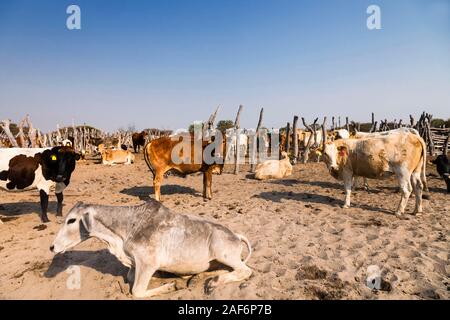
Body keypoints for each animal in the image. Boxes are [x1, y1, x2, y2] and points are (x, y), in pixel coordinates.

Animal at [51, 201, 253, 298]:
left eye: (71, 220)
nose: (52, 246)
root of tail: (235, 235)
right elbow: (129, 278)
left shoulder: (147, 263)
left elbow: (137, 291)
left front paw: (171, 285)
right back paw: (200, 278)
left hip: (222, 251)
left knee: (245, 271)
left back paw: (213, 282)